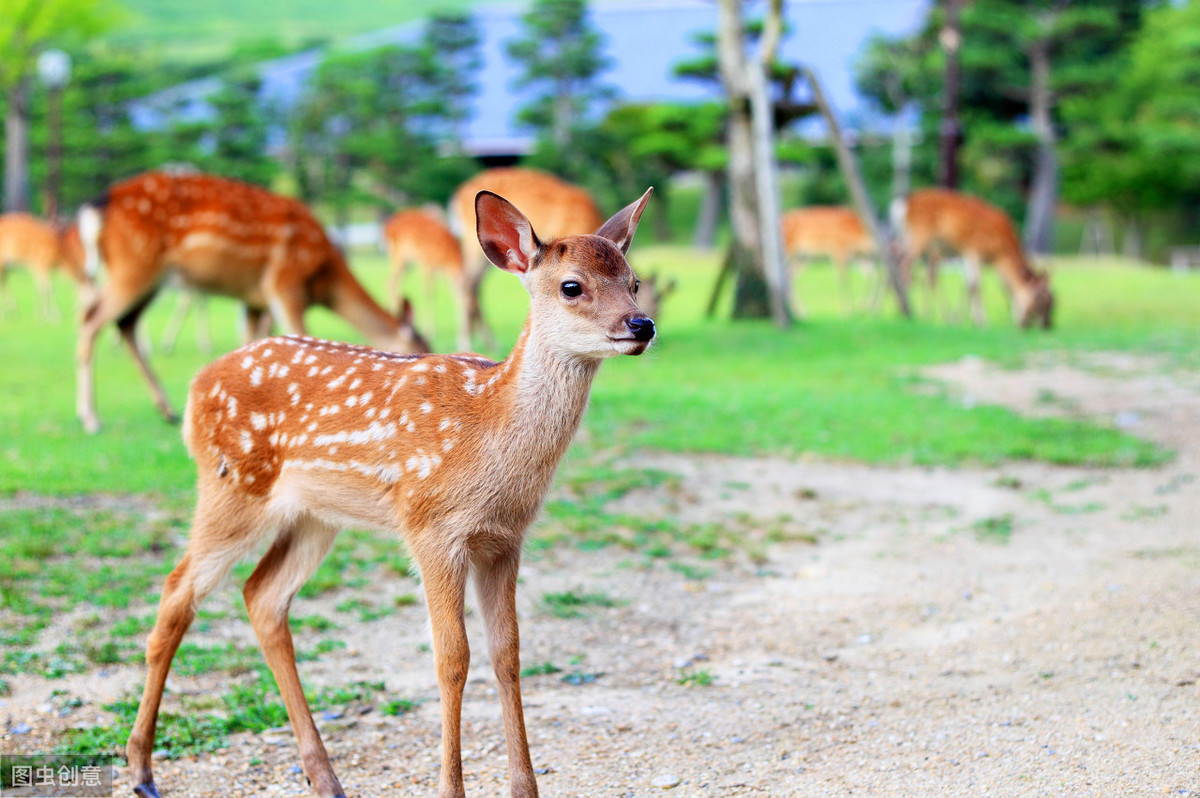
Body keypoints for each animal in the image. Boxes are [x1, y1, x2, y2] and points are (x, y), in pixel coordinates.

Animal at [77, 171, 429, 432]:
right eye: (422, 347)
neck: (323, 278)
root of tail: (97, 207)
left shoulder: (254, 299)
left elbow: (251, 344)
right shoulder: (284, 283)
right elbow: (301, 336)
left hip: (147, 276)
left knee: (125, 323)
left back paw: (166, 410)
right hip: (136, 263)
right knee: (91, 319)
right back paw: (91, 419)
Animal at [384, 206, 463, 343]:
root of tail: (387, 227)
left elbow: (439, 293)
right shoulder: (427, 264)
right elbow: (428, 293)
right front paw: (429, 332)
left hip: (407, 262)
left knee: (392, 281)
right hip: (399, 254)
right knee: (392, 281)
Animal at [451, 168, 604, 345]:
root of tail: (458, 196)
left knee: (473, 284)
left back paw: (488, 341)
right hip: (472, 238)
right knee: (466, 282)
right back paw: (467, 341)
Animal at [888, 187, 1056, 326]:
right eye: (1044, 301)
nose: (1048, 326)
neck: (1000, 253)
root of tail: (903, 203)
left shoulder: (966, 255)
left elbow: (967, 286)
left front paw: (958, 319)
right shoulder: (974, 250)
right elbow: (975, 286)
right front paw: (981, 321)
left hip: (908, 237)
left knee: (902, 259)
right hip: (920, 234)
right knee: (905, 264)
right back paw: (907, 308)